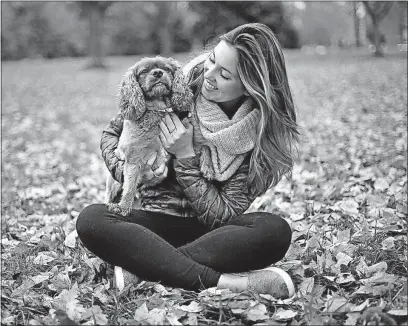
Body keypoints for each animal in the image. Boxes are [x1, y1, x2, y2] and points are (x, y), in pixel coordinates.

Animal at [106, 55, 194, 216]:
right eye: (144, 71)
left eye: (166, 69)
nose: (158, 73)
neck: (158, 110)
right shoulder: (134, 159)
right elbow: (130, 186)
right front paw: (123, 207)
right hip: (112, 185)